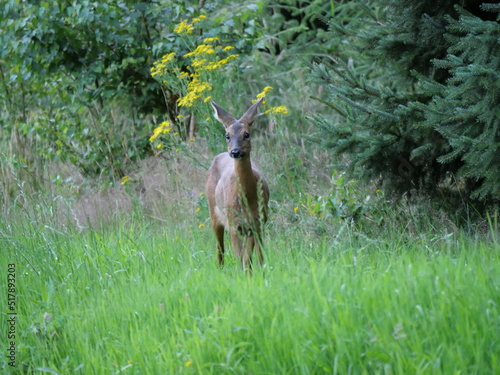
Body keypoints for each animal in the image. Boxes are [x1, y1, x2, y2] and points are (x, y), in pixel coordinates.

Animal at [205, 97, 270, 274]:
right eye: (227, 135)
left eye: (246, 134)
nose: (234, 152)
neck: (247, 198)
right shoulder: (235, 223)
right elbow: (241, 258)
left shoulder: (257, 222)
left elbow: (253, 258)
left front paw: (257, 275)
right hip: (215, 212)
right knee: (219, 248)